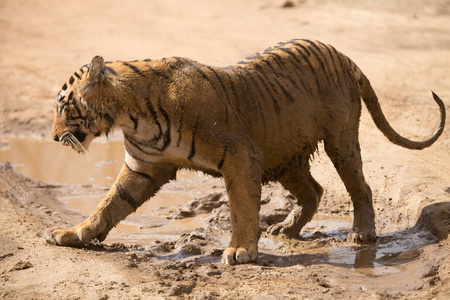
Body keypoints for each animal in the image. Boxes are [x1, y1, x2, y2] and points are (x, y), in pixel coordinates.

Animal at [44, 39, 444, 264]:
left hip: (340, 141)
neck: (129, 116)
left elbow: (241, 208)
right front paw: (73, 235)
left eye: (63, 105)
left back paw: (362, 234)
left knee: (360, 187)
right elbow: (109, 205)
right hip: (286, 157)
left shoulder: (239, 157)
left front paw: (240, 251)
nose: (53, 137)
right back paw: (287, 228)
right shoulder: (143, 167)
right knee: (314, 191)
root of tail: (343, 56)